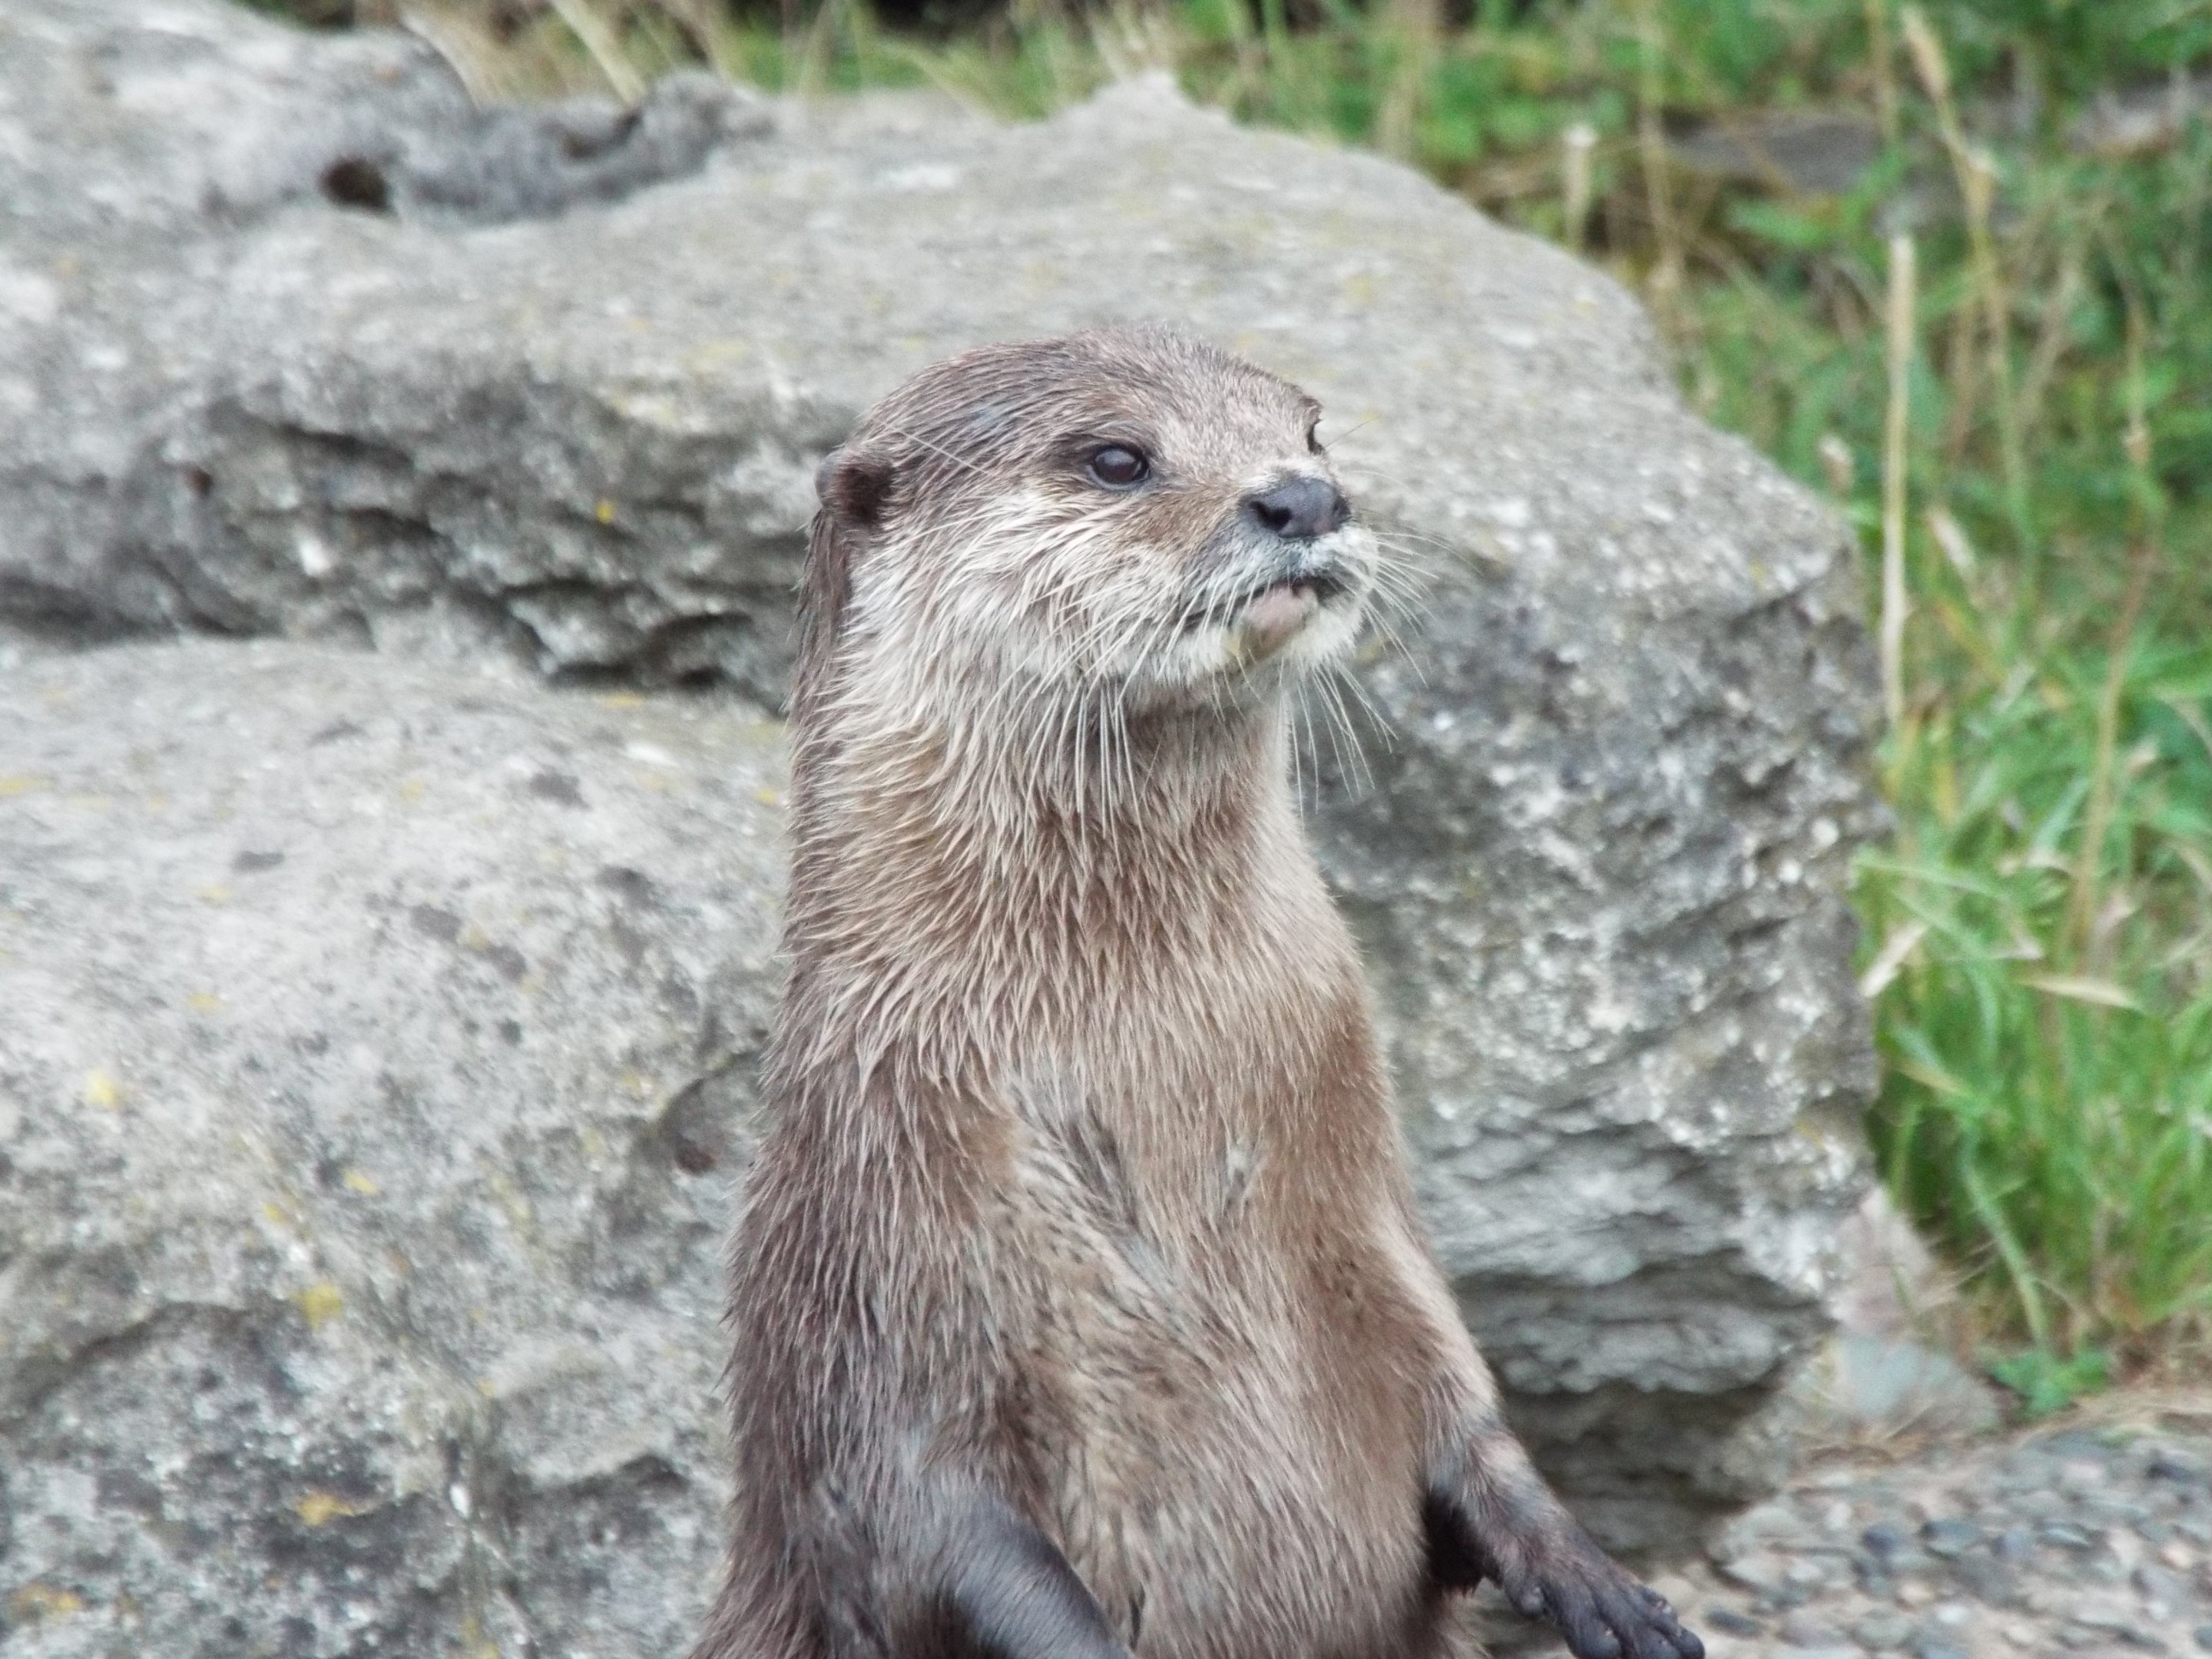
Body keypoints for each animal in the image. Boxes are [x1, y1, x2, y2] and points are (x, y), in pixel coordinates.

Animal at [694, 325, 1704, 1659]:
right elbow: (924, 1531)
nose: (1305, 498)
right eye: (1117, 457)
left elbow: (1464, 1404)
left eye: (1312, 431)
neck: (1146, 1048)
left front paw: (1590, 1576)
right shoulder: (876, 1275)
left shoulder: (1371, 1226)